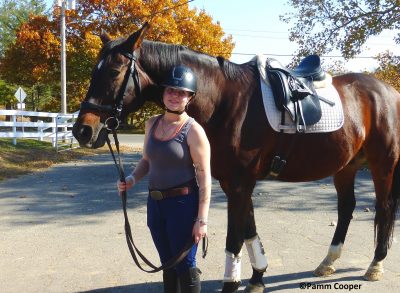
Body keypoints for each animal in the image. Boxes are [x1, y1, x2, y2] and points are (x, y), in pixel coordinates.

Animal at [72, 24, 400, 290]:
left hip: (383, 165)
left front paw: (234, 283)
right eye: (94, 71)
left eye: (114, 71)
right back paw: (328, 261)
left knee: (383, 208)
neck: (225, 101)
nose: (82, 130)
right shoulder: (234, 184)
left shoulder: (241, 183)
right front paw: (257, 277)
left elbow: (234, 240)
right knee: (346, 208)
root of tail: (388, 91)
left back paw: (375, 264)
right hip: (346, 167)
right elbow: (250, 231)